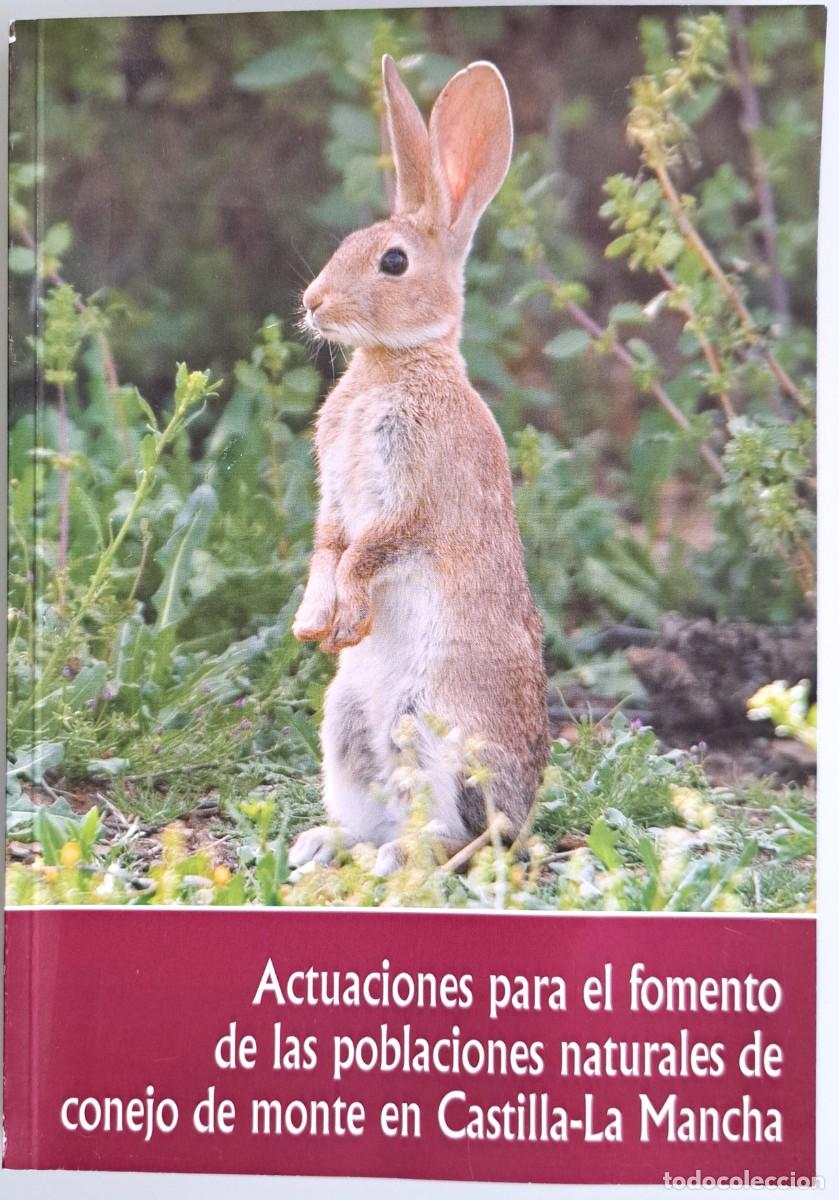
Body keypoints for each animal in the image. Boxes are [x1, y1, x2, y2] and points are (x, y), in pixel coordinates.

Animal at [289, 54, 549, 876]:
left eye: (394, 262)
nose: (314, 302)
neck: (395, 362)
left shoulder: (416, 495)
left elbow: (371, 548)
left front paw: (343, 614)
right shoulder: (335, 494)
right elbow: (328, 544)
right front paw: (315, 623)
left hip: (436, 728)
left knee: (459, 832)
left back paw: (404, 859)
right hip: (344, 726)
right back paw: (322, 844)